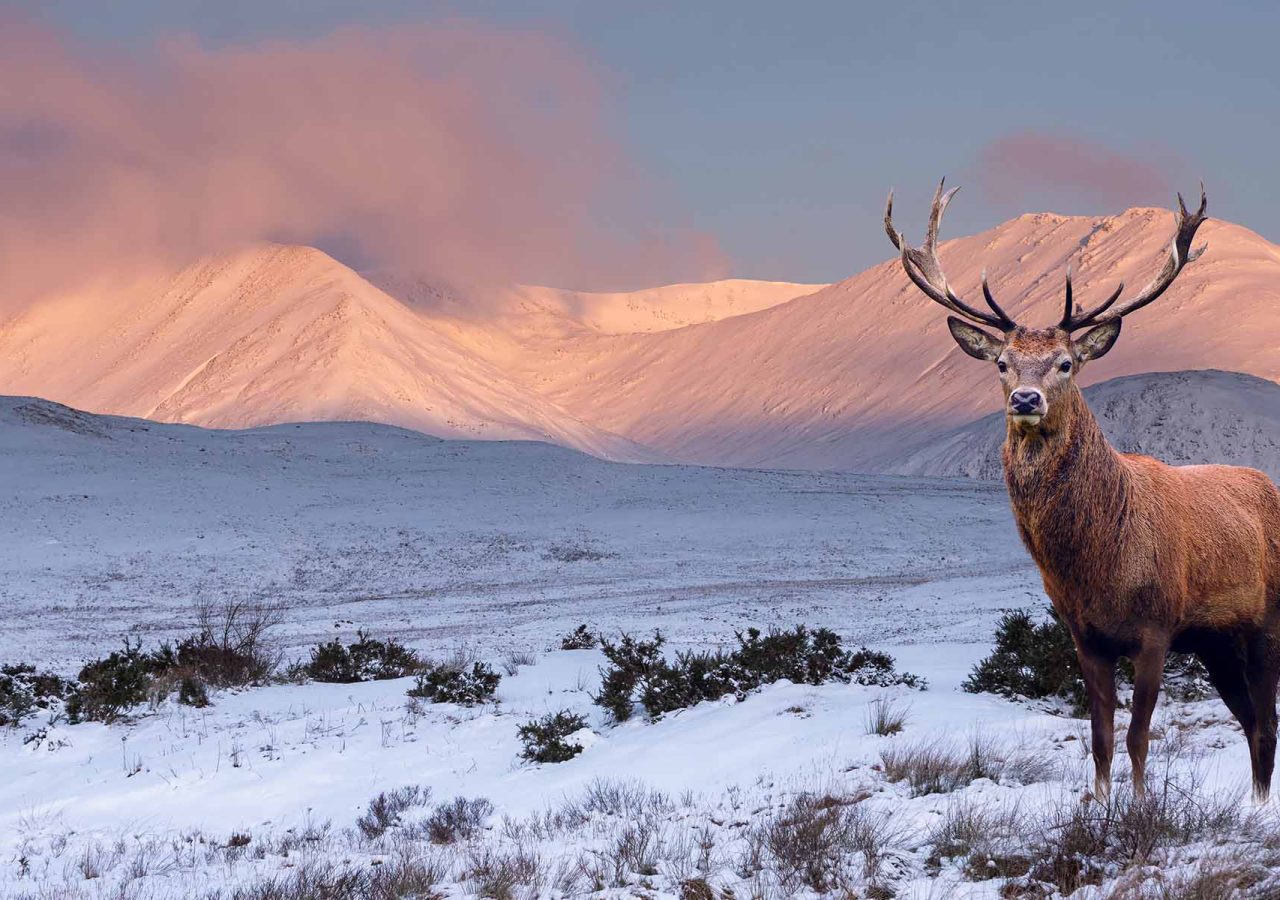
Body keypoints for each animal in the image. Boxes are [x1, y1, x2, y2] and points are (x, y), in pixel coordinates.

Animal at [885, 181, 1280, 801]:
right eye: (1003, 363)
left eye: (1066, 363)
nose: (1026, 399)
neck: (1098, 565)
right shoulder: (1085, 636)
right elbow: (1099, 738)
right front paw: (1099, 802)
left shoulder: (1156, 627)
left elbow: (1139, 736)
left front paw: (1140, 806)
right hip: (1216, 641)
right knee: (1251, 721)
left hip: (1267, 618)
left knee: (1266, 721)